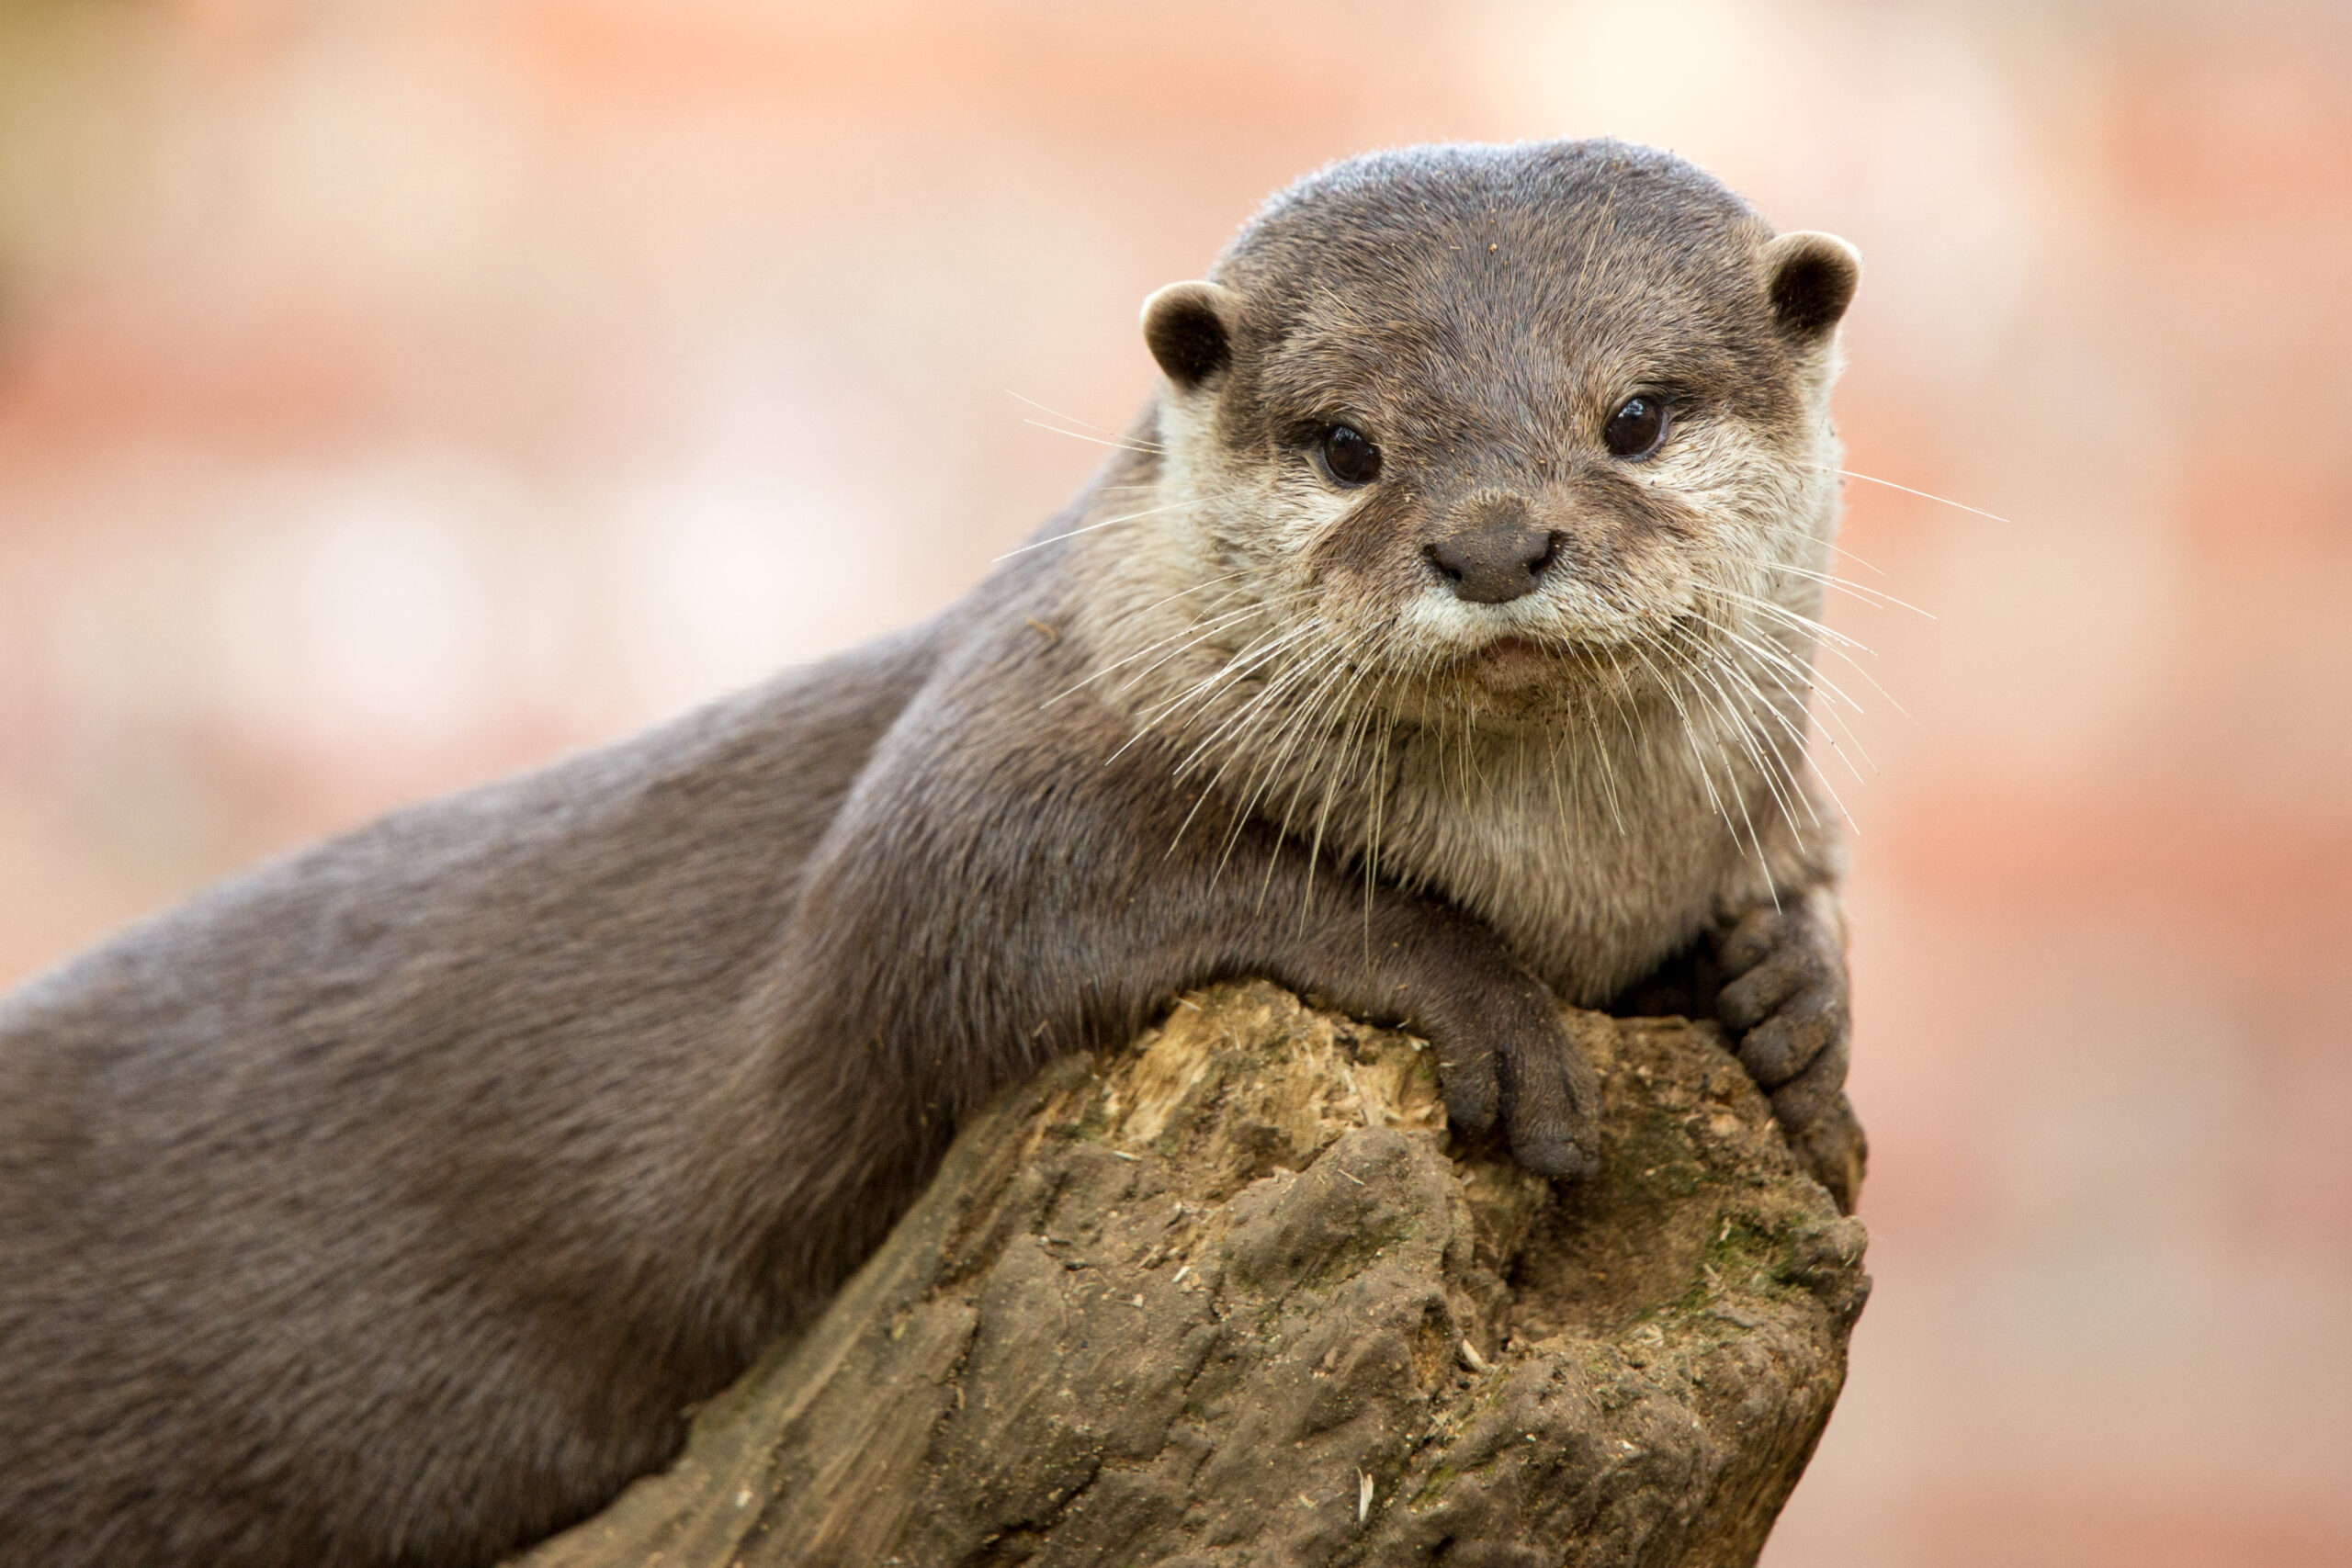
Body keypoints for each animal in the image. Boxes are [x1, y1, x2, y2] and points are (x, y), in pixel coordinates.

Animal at [0, 139, 1861, 1567]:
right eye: (1348, 443)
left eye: (1637, 414)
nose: (1491, 540)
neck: (1571, 870)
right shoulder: (977, 756)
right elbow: (971, 909)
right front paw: (1481, 992)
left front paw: (1788, 1009)